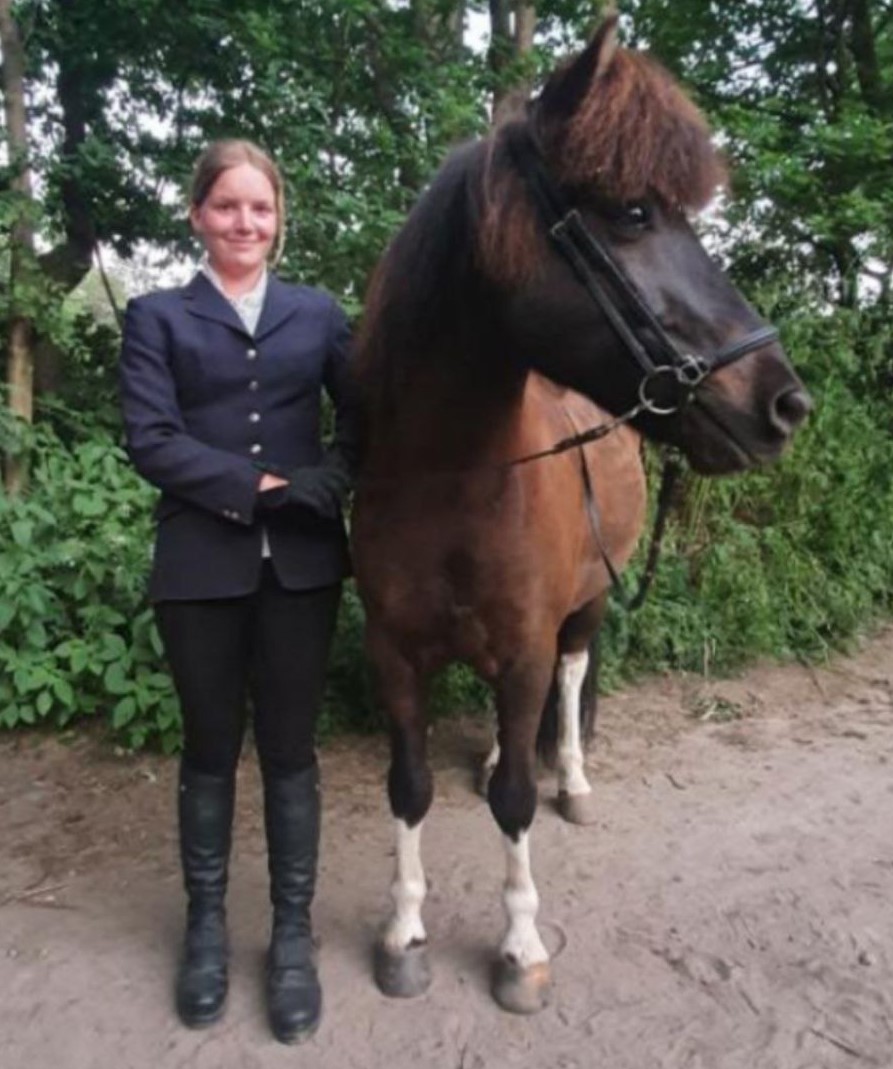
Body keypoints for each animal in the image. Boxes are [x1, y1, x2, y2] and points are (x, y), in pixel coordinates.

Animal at [350, 15, 811, 1015]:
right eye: (632, 213)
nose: (785, 404)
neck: (454, 478)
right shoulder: (393, 651)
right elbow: (408, 786)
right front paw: (403, 931)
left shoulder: (527, 644)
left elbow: (518, 801)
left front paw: (520, 947)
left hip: (587, 603)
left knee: (567, 681)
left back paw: (573, 776)